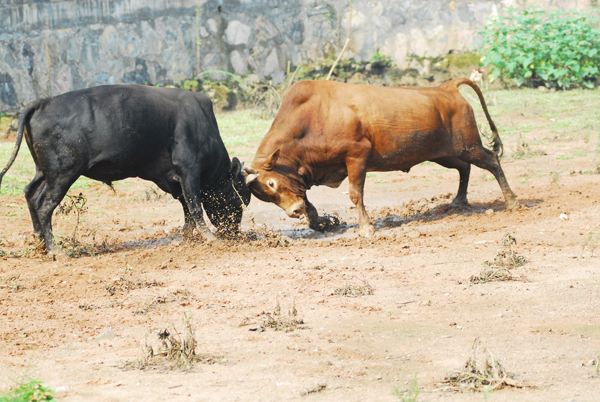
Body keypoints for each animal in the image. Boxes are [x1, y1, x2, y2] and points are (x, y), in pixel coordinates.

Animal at [0, 84, 250, 251]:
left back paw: (39, 242)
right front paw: (209, 237)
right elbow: (195, 207)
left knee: (30, 194)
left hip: (45, 172)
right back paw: (54, 249)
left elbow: (187, 209)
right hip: (62, 174)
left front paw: (187, 236)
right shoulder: (189, 171)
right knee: (44, 205)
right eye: (241, 197)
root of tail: (44, 102)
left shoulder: (173, 179)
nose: (233, 231)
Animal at [246, 78, 516, 236]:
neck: (313, 116)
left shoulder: (357, 156)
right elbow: (308, 201)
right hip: (444, 153)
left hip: (468, 146)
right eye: (266, 196)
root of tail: (446, 88)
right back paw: (459, 200)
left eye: (272, 183)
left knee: (491, 160)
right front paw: (320, 222)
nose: (293, 212)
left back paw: (511, 200)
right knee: (464, 168)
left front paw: (366, 228)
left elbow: (356, 194)